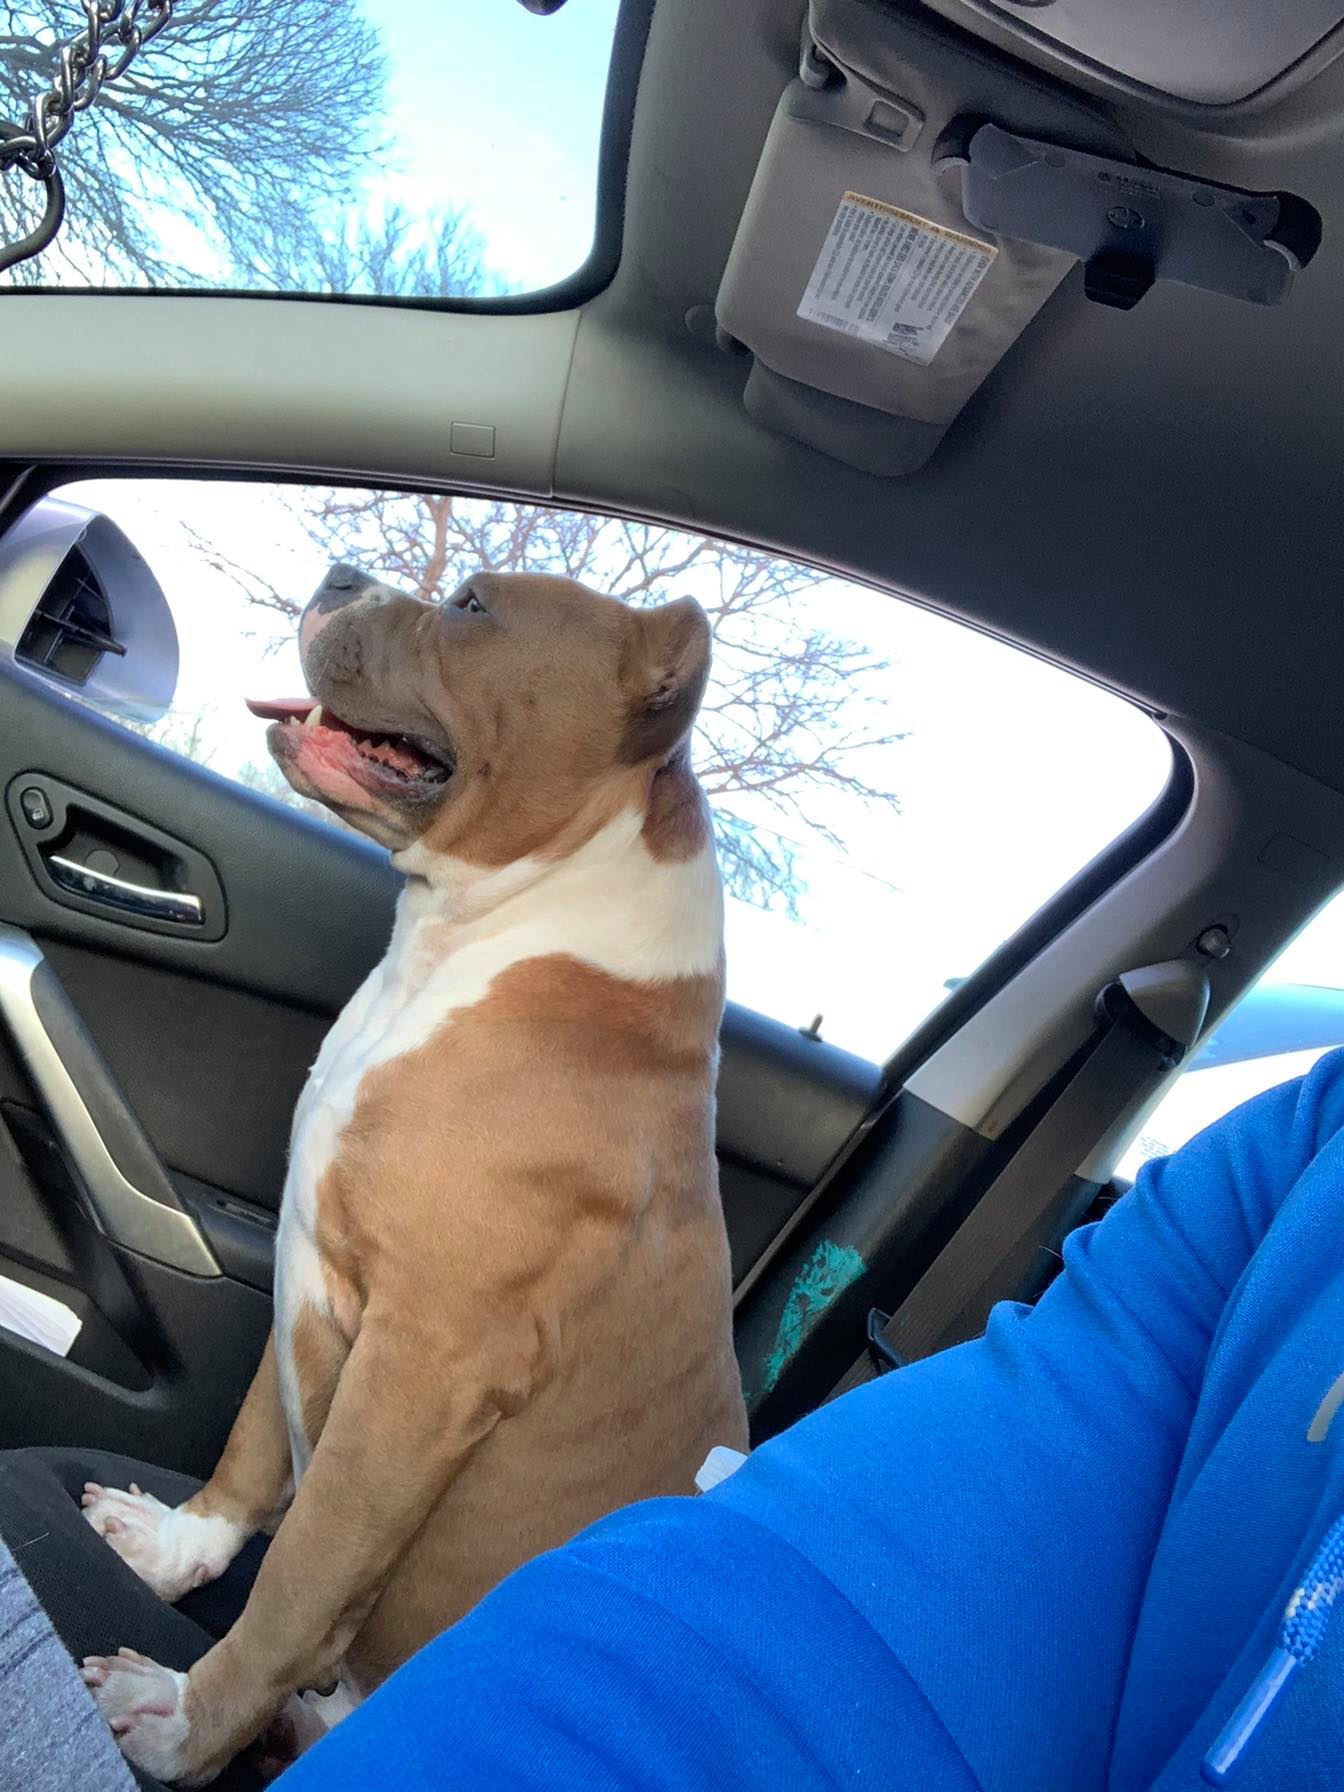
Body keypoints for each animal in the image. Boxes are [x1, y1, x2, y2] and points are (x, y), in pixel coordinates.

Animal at [76, 566, 749, 1784]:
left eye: (475, 607)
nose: (340, 575)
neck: (473, 936)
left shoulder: (426, 1369)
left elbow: (304, 1567)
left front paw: (185, 1719)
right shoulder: (306, 1261)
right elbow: (255, 1445)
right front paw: (173, 1548)